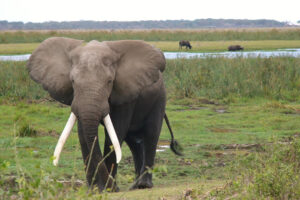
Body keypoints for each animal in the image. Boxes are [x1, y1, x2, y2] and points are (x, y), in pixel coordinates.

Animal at [27, 36, 183, 191]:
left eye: (109, 81)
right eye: (72, 81)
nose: (105, 185)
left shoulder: (125, 94)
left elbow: (115, 133)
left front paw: (109, 189)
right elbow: (83, 134)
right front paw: (94, 189)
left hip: (159, 98)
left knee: (151, 134)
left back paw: (143, 185)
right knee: (133, 142)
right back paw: (134, 186)